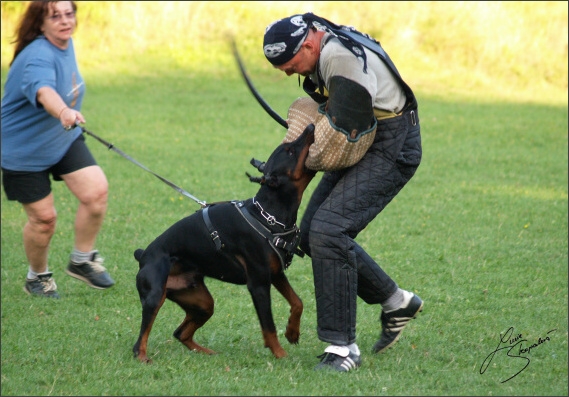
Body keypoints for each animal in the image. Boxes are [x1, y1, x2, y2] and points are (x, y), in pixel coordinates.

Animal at [133, 124, 318, 362]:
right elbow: (269, 326)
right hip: (155, 295)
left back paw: (207, 352)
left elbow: (298, 302)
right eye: (290, 151)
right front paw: (280, 354)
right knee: (140, 340)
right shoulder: (259, 283)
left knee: (180, 332)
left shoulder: (275, 273)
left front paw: (292, 332)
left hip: (200, 301)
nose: (311, 127)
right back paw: (143, 357)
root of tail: (143, 254)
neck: (267, 215)